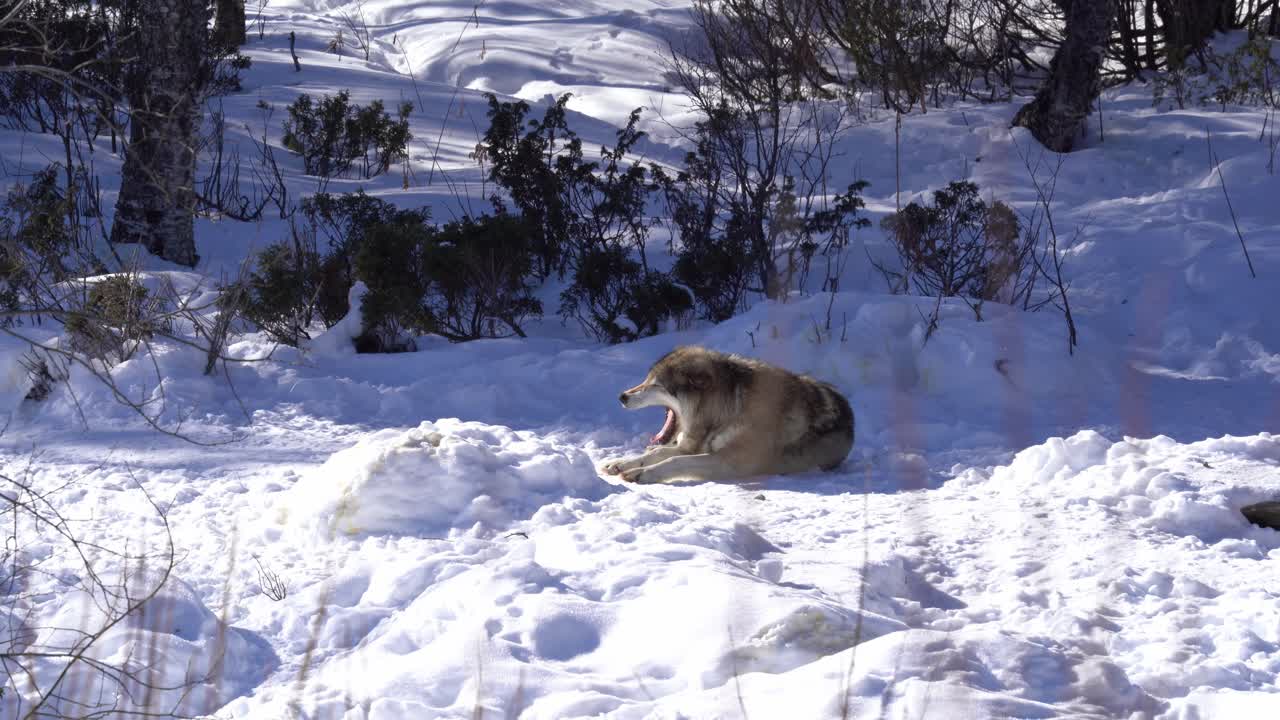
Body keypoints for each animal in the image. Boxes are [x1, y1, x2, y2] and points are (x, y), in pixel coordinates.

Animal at [602, 346, 854, 484]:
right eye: (646, 380)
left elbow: (675, 460)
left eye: (655, 385)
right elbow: (656, 453)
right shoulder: (694, 446)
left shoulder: (729, 461)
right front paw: (620, 464)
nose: (621, 397)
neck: (727, 410)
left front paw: (641, 474)